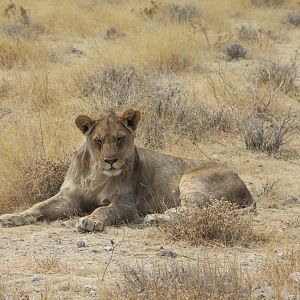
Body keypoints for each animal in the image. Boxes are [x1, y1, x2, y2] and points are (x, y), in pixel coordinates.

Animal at [0, 109, 255, 231]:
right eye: (99, 141)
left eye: (120, 139)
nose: (111, 160)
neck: (96, 174)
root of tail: (246, 188)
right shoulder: (69, 198)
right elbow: (37, 206)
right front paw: (12, 217)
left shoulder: (126, 205)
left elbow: (103, 210)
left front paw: (90, 222)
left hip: (191, 180)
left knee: (198, 211)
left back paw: (156, 217)